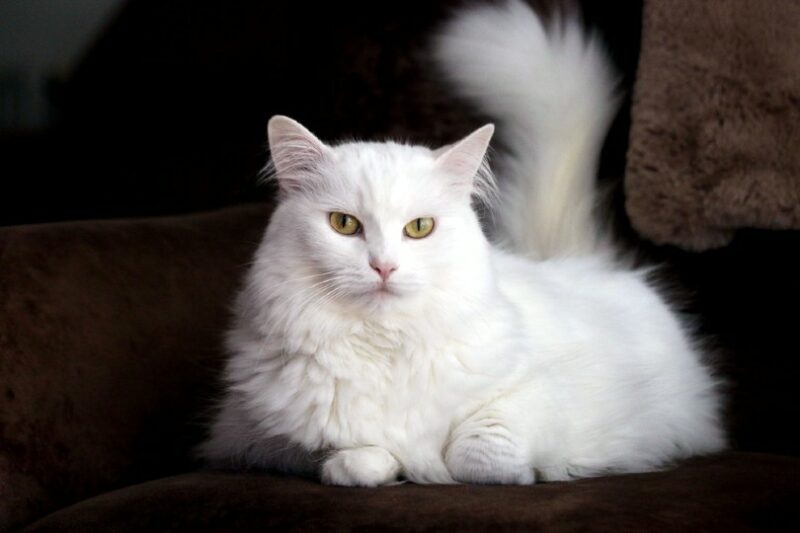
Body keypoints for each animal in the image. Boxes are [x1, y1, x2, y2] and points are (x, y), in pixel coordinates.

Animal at [200, 0, 724, 486]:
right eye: (344, 224)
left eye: (418, 228)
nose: (383, 266)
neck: (385, 348)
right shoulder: (249, 436)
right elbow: (351, 455)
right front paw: (373, 465)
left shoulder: (548, 392)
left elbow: (477, 451)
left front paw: (527, 473)